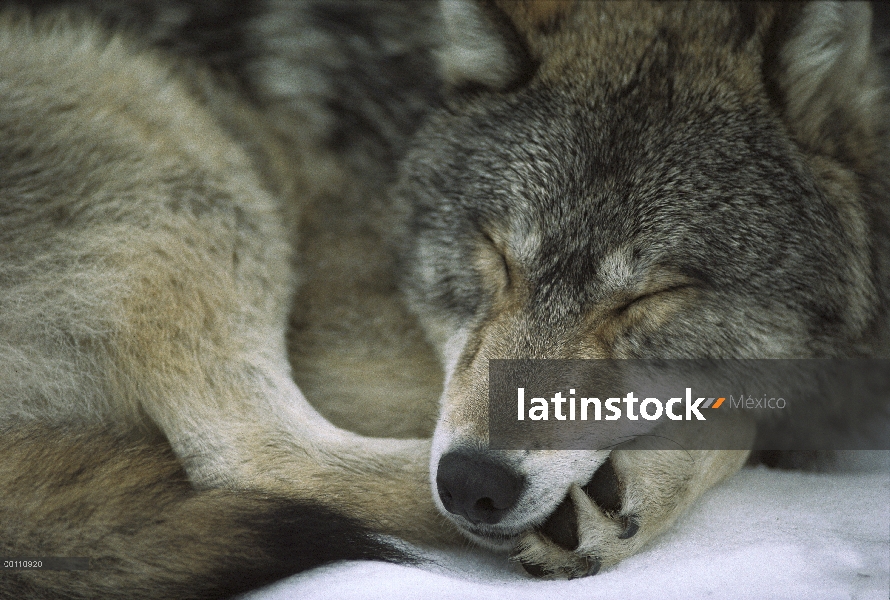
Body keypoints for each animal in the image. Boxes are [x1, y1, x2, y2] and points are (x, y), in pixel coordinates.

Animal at [0, 0, 884, 596]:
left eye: (650, 295)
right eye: (495, 254)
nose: (472, 484)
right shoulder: (346, 341)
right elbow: (746, 416)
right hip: (157, 119)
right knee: (256, 454)